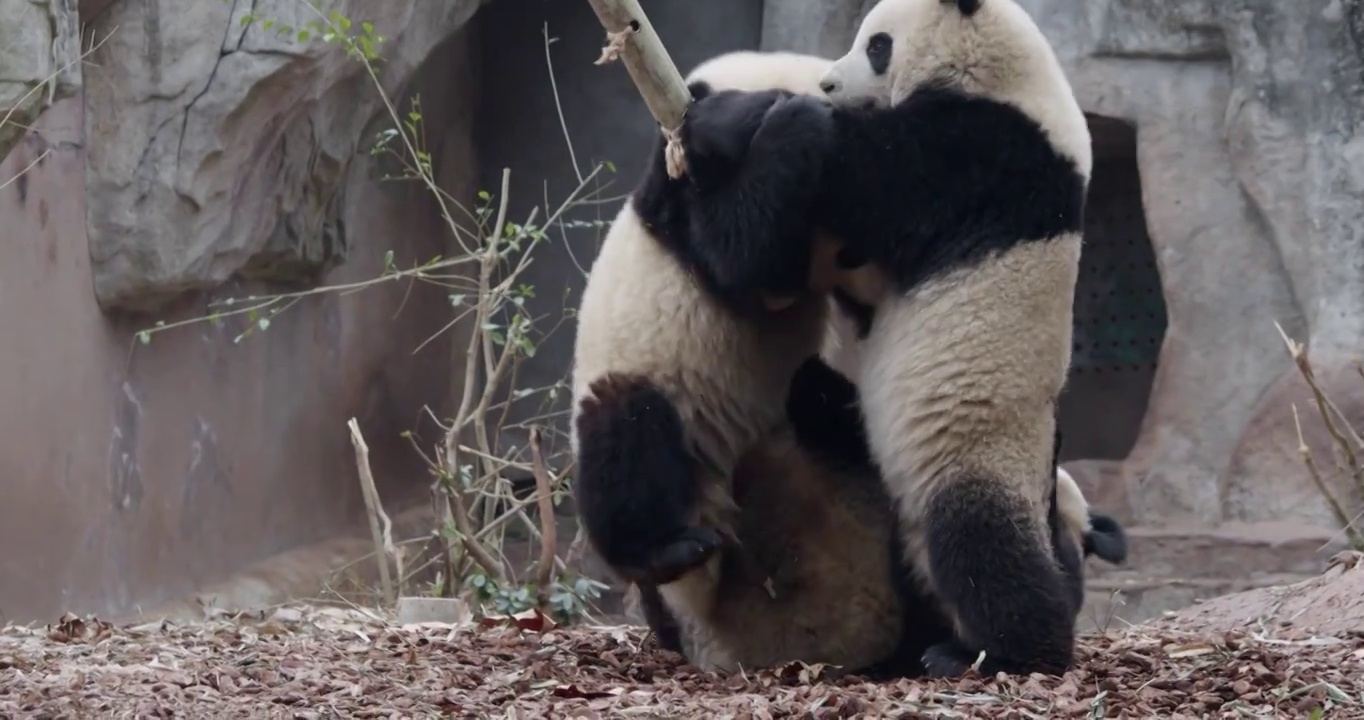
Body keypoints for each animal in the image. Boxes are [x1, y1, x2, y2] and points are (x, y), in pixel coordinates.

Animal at [564, 50, 840, 624]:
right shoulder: (678, 201)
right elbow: (741, 254)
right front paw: (795, 122)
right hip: (655, 400)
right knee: (627, 434)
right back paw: (664, 551)